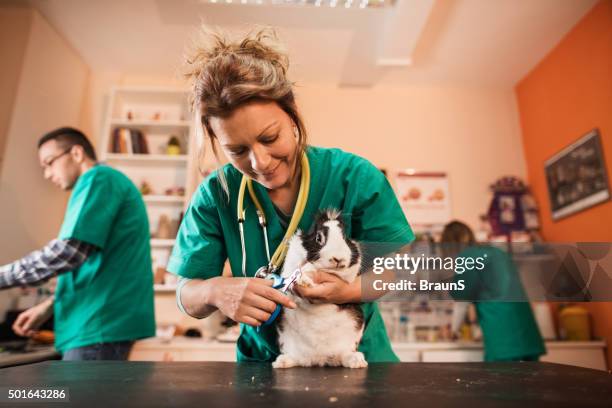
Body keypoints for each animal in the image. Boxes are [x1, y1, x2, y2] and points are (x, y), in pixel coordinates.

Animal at [274, 209, 368, 368]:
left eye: (344, 237)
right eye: (318, 238)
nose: (338, 259)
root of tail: (319, 357)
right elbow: (304, 268)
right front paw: (303, 280)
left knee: (345, 355)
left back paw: (357, 361)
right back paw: (281, 362)